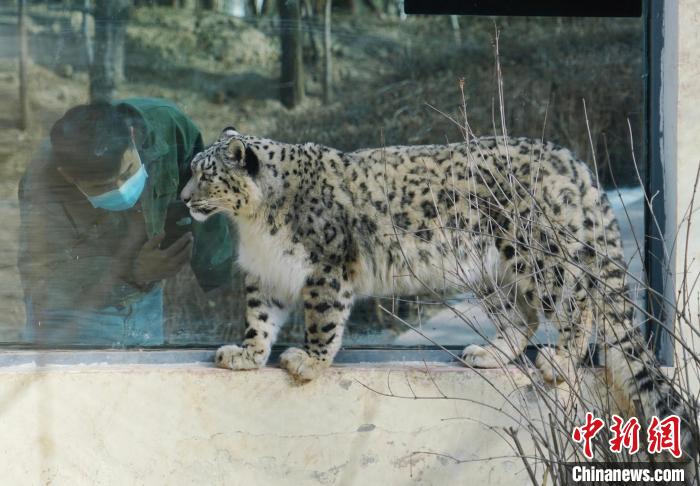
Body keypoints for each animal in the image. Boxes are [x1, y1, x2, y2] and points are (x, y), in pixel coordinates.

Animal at [183, 127, 696, 462]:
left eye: (206, 175)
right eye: (191, 170)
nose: (183, 198)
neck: (252, 226)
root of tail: (569, 160)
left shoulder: (326, 267)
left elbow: (322, 319)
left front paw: (307, 362)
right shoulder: (264, 276)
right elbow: (259, 319)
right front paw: (246, 355)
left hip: (537, 255)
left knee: (576, 302)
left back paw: (560, 359)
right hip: (491, 271)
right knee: (521, 316)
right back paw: (488, 353)